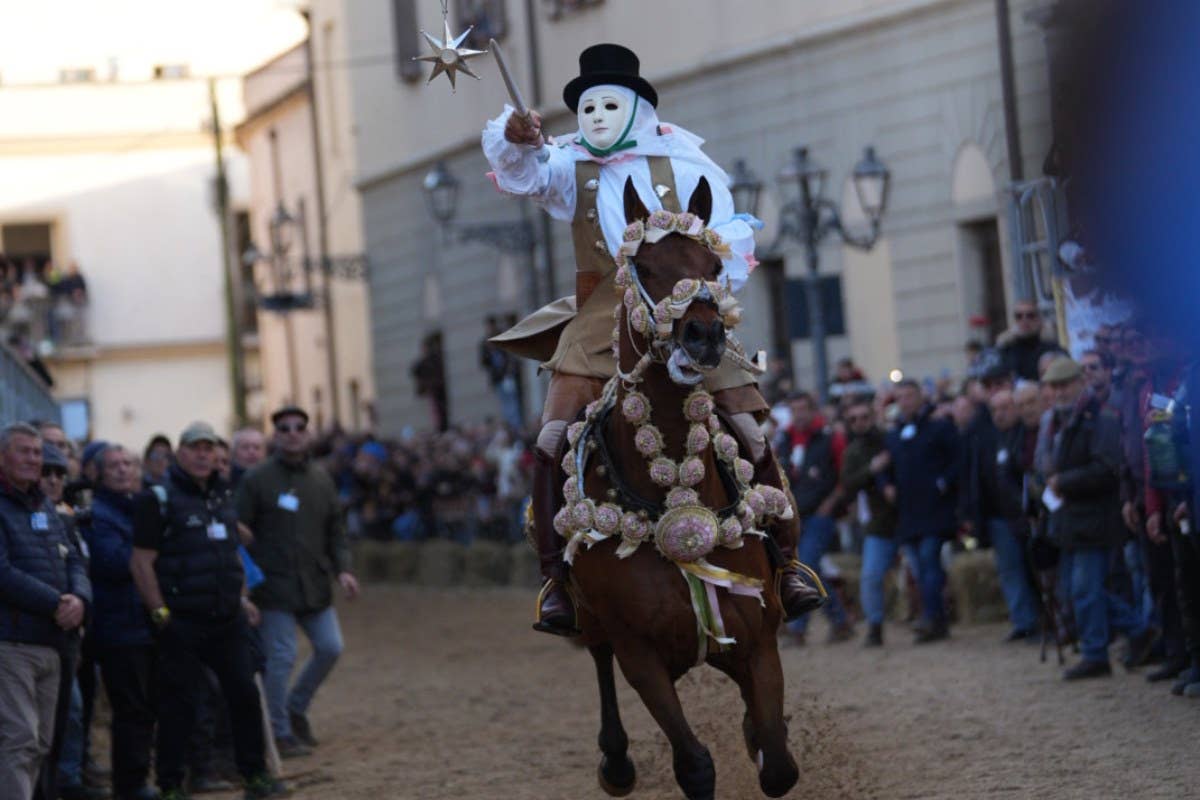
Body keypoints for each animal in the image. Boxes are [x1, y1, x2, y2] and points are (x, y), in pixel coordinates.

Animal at [566, 178, 801, 800]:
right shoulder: (641, 655)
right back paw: (616, 761)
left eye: (714, 266)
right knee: (595, 657)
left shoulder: (757, 637)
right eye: (645, 267)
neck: (676, 495)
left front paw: (761, 737)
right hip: (593, 621)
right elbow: (694, 765)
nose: (704, 335)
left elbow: (778, 762)